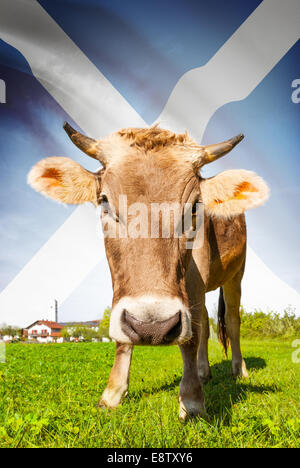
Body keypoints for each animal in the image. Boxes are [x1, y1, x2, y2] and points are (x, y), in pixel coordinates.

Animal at [28, 122, 270, 418]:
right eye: (104, 201)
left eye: (195, 207)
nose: (151, 327)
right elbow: (125, 334)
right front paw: (112, 393)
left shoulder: (196, 277)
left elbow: (190, 336)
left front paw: (192, 400)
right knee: (205, 323)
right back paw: (204, 372)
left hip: (236, 275)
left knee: (232, 321)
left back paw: (239, 370)